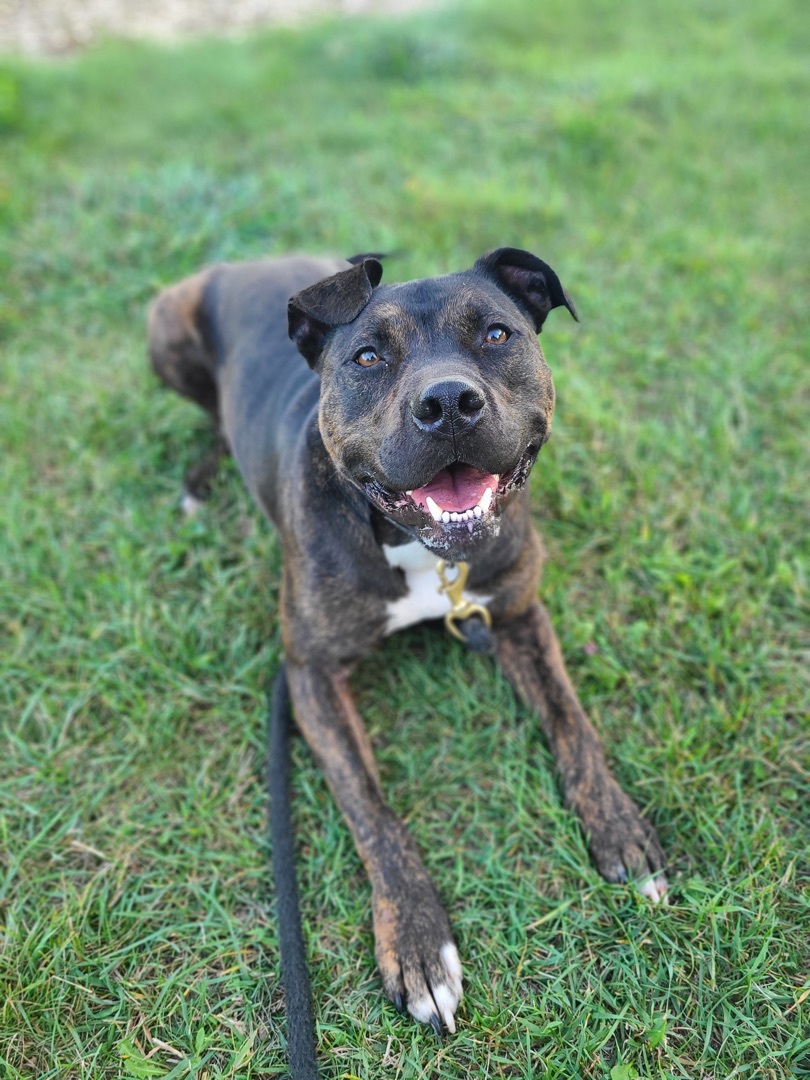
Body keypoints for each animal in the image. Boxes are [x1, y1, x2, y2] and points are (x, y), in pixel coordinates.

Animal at [149, 248, 669, 1032]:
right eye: (368, 356)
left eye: (495, 335)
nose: (448, 402)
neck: (418, 549)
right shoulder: (310, 673)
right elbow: (372, 808)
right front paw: (419, 943)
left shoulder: (520, 614)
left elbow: (572, 722)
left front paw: (619, 827)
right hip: (165, 331)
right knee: (210, 417)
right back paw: (200, 481)